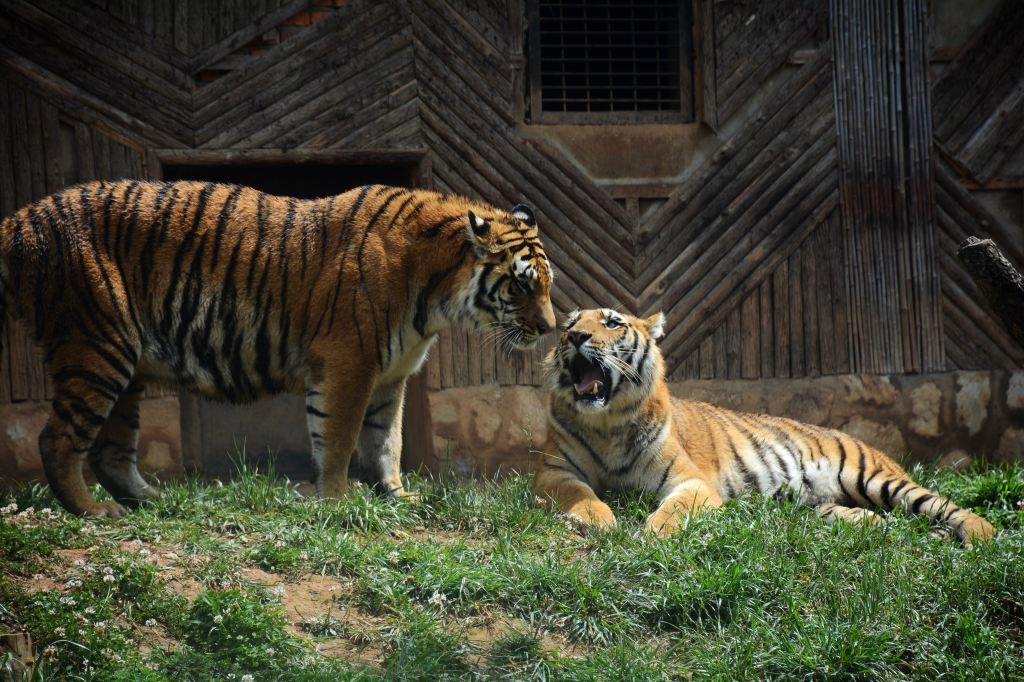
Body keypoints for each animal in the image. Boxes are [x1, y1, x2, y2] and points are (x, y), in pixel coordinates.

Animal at [0, 180, 557, 516]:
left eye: (546, 285)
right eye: (522, 285)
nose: (551, 327)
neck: (438, 297)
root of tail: (23, 217)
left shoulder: (391, 376)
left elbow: (387, 441)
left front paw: (398, 495)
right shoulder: (348, 365)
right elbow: (339, 439)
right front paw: (337, 502)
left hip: (125, 367)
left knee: (111, 451)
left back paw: (153, 499)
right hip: (97, 346)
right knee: (57, 438)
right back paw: (94, 511)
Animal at [532, 307, 995, 540]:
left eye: (612, 322)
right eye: (570, 324)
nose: (575, 337)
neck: (607, 423)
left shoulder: (691, 481)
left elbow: (675, 508)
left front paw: (656, 532)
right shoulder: (554, 472)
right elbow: (579, 493)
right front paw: (597, 519)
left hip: (875, 477)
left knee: (946, 506)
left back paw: (980, 537)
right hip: (819, 505)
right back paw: (873, 525)